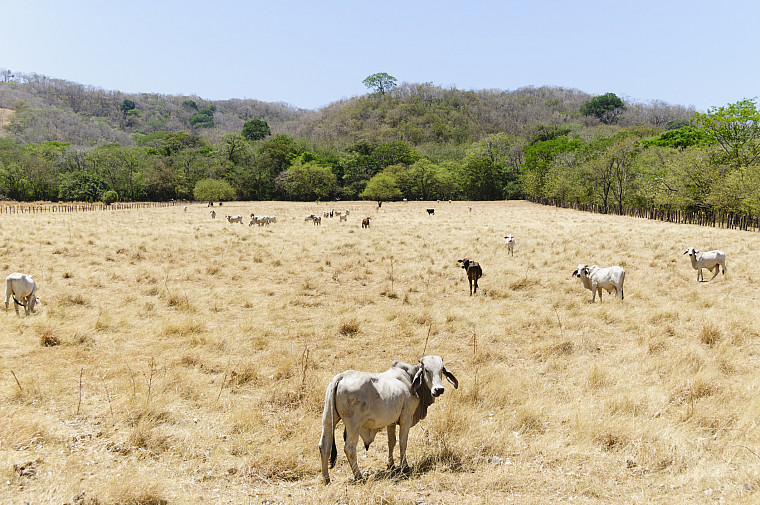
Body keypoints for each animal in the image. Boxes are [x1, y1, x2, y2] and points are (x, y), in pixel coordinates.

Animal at [320, 352, 460, 482]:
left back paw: (326, 479)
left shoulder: (391, 422)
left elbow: (391, 442)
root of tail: (341, 376)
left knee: (324, 446)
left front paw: (391, 465)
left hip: (328, 418)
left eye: (441, 369)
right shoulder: (406, 418)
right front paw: (404, 466)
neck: (409, 378)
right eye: (426, 370)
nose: (439, 389)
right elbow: (403, 442)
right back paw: (359, 476)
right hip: (353, 424)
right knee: (349, 448)